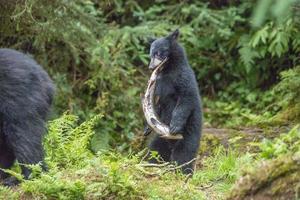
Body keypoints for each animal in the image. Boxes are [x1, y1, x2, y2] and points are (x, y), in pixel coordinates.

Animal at [145, 28, 203, 174]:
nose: (151, 67)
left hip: (189, 133)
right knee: (155, 151)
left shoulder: (182, 76)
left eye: (159, 53)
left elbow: (186, 98)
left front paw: (175, 125)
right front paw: (146, 128)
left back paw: (183, 173)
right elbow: (158, 103)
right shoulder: (159, 83)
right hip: (161, 138)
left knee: (184, 154)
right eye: (150, 54)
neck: (167, 70)